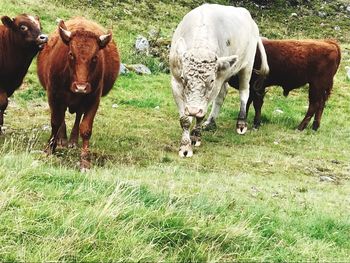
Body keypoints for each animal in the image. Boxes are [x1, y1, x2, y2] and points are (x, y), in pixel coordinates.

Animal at [37, 18, 120, 171]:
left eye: (95, 57)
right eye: (71, 54)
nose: (81, 87)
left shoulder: (93, 99)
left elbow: (86, 128)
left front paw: (85, 160)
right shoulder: (53, 95)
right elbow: (56, 122)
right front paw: (50, 149)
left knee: (77, 116)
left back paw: (73, 141)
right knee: (61, 116)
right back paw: (62, 139)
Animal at [169, 3, 268, 158]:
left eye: (210, 80)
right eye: (184, 78)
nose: (193, 110)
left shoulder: (215, 84)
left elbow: (201, 115)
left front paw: (195, 137)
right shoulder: (175, 82)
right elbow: (185, 120)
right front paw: (185, 147)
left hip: (247, 66)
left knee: (244, 93)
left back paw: (241, 123)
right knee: (222, 95)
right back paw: (211, 122)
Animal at [204, 39, 340, 132]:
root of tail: (329, 43)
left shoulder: (257, 87)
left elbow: (256, 104)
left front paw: (255, 124)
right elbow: (247, 103)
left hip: (316, 86)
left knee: (314, 105)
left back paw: (300, 127)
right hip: (320, 88)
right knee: (321, 105)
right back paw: (314, 127)